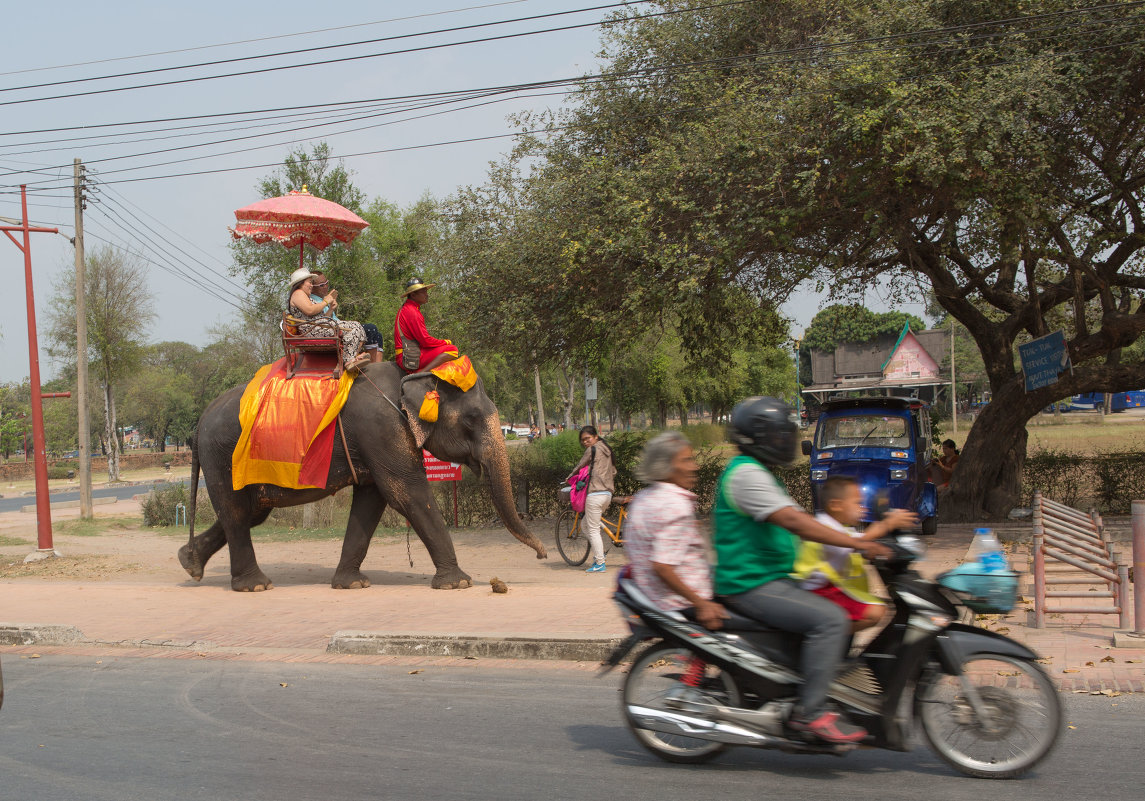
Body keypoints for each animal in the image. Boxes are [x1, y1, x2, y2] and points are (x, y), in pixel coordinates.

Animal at [180, 359, 547, 590]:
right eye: (471, 419)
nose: (543, 554)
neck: (412, 375)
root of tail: (199, 423)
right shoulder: (382, 427)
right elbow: (406, 493)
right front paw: (459, 583)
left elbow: (372, 501)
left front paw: (352, 584)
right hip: (222, 457)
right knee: (236, 512)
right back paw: (255, 586)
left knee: (251, 512)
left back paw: (190, 562)